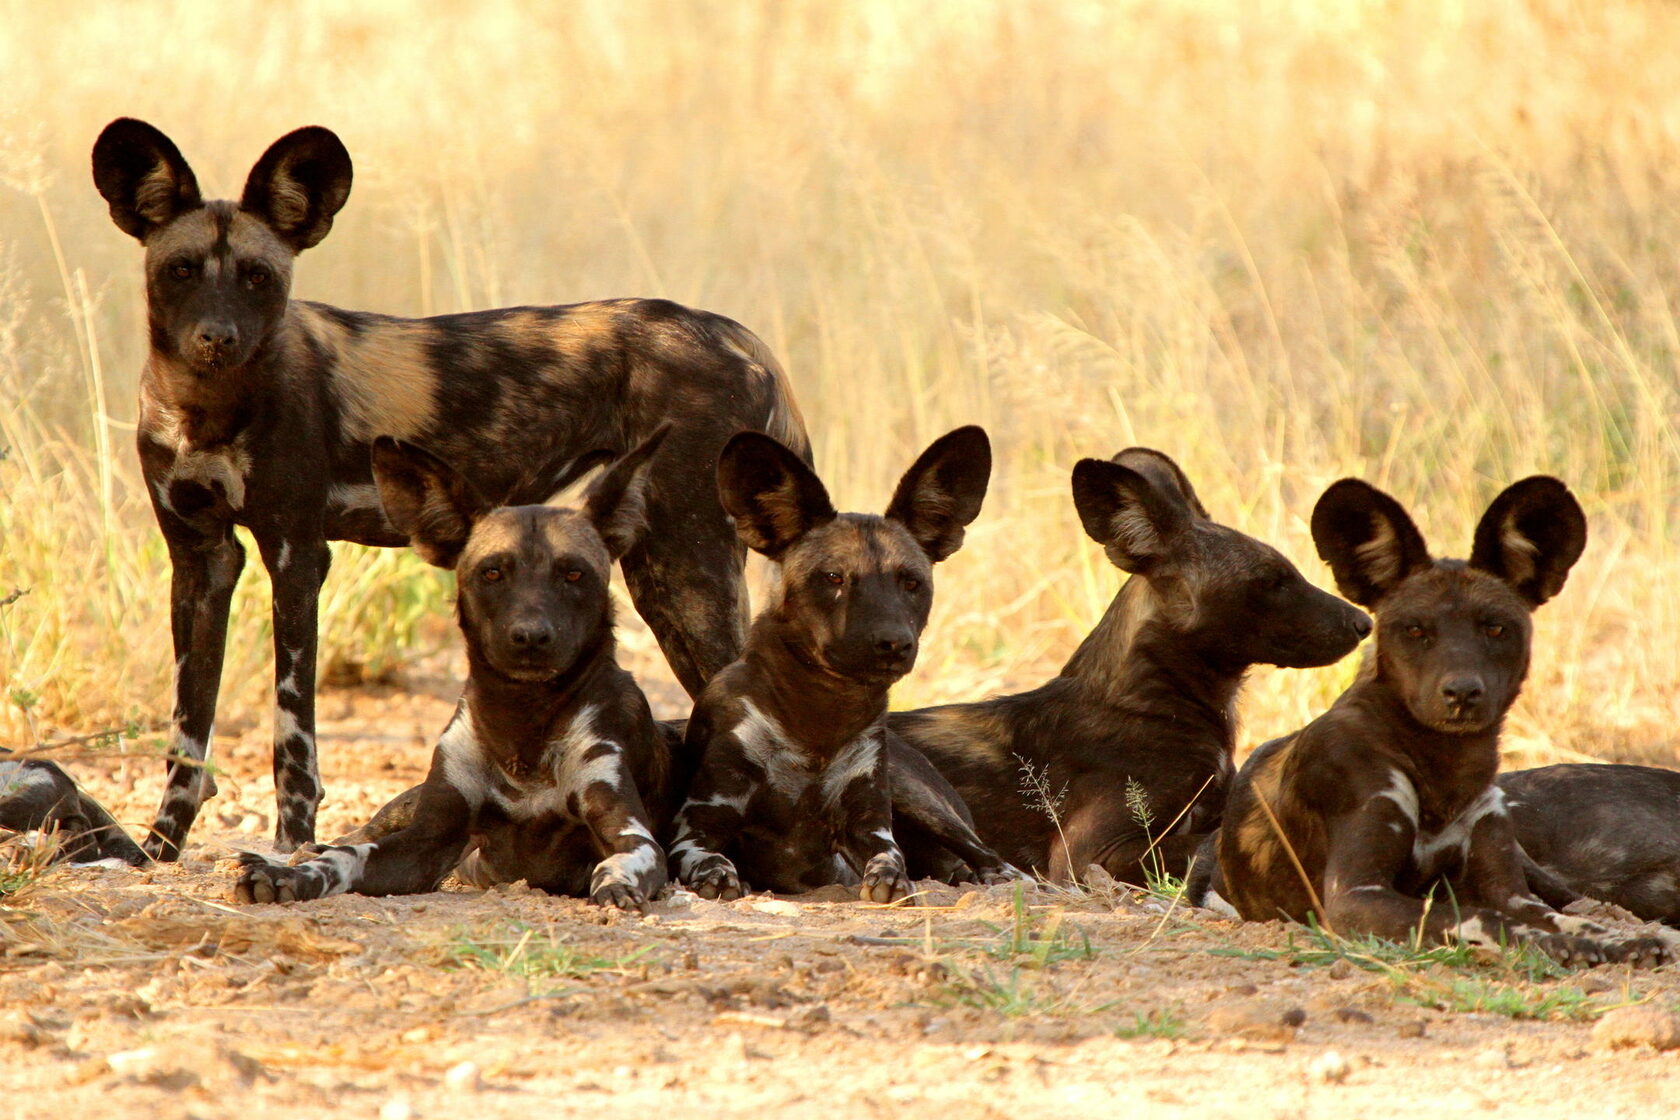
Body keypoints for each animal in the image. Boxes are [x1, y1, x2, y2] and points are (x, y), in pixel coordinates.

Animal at [92, 118, 808, 860]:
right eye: (181, 271)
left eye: (258, 278)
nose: (218, 338)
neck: (206, 409)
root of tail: (738, 335)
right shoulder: (202, 561)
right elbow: (187, 730)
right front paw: (160, 847)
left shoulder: (295, 558)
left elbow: (293, 732)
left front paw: (292, 846)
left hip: (682, 573)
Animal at [234, 429, 673, 909]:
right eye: (492, 572)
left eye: (574, 574)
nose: (531, 636)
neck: (523, 724)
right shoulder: (427, 838)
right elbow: (345, 857)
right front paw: (290, 876)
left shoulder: (633, 836)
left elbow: (621, 861)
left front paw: (617, 886)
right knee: (350, 837)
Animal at [669, 426, 1017, 902]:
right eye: (833, 578)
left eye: (912, 583)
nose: (893, 642)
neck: (820, 719)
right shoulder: (694, 830)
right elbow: (711, 861)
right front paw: (721, 878)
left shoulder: (870, 824)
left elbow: (890, 857)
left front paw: (891, 881)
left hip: (916, 797)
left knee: (989, 856)